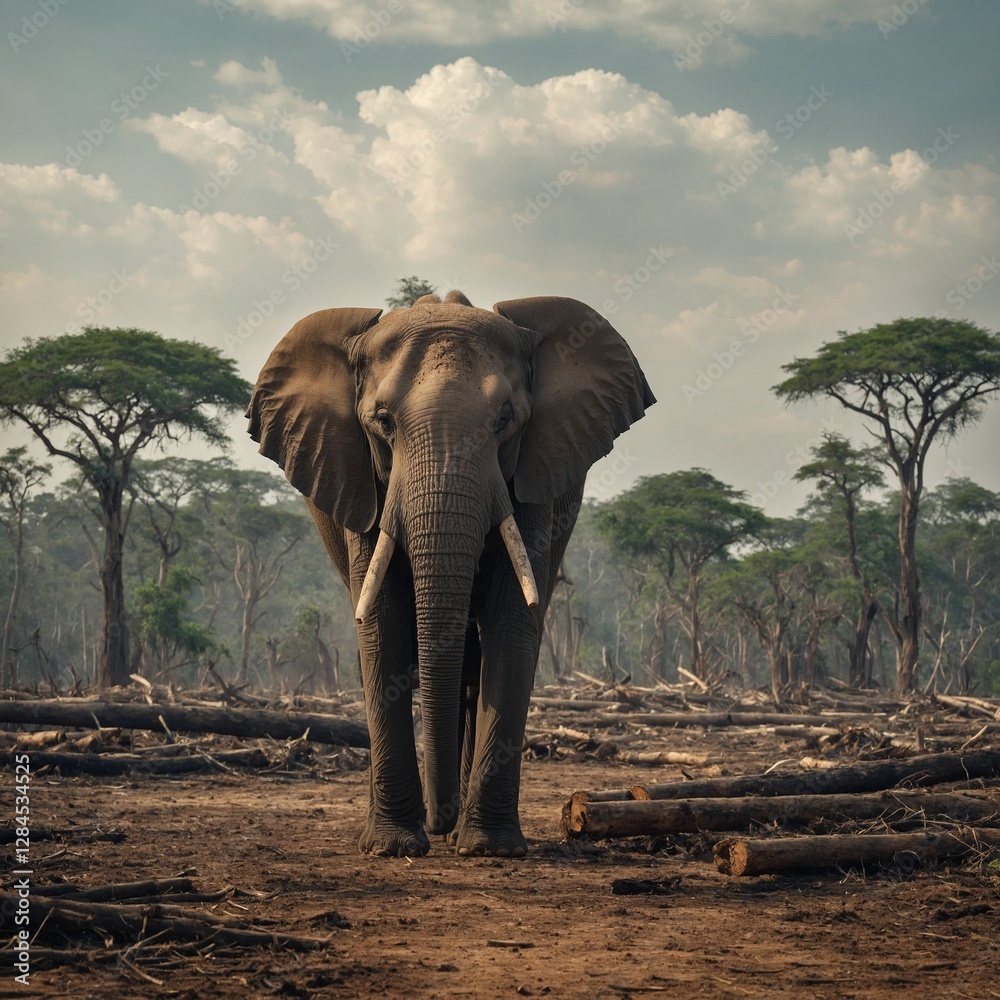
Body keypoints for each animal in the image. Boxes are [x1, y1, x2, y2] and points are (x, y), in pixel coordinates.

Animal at [247, 290, 654, 857]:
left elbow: (512, 621)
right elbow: (383, 624)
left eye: (506, 418)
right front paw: (394, 847)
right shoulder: (364, 484)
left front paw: (490, 848)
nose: (436, 823)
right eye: (383, 422)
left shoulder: (536, 478)